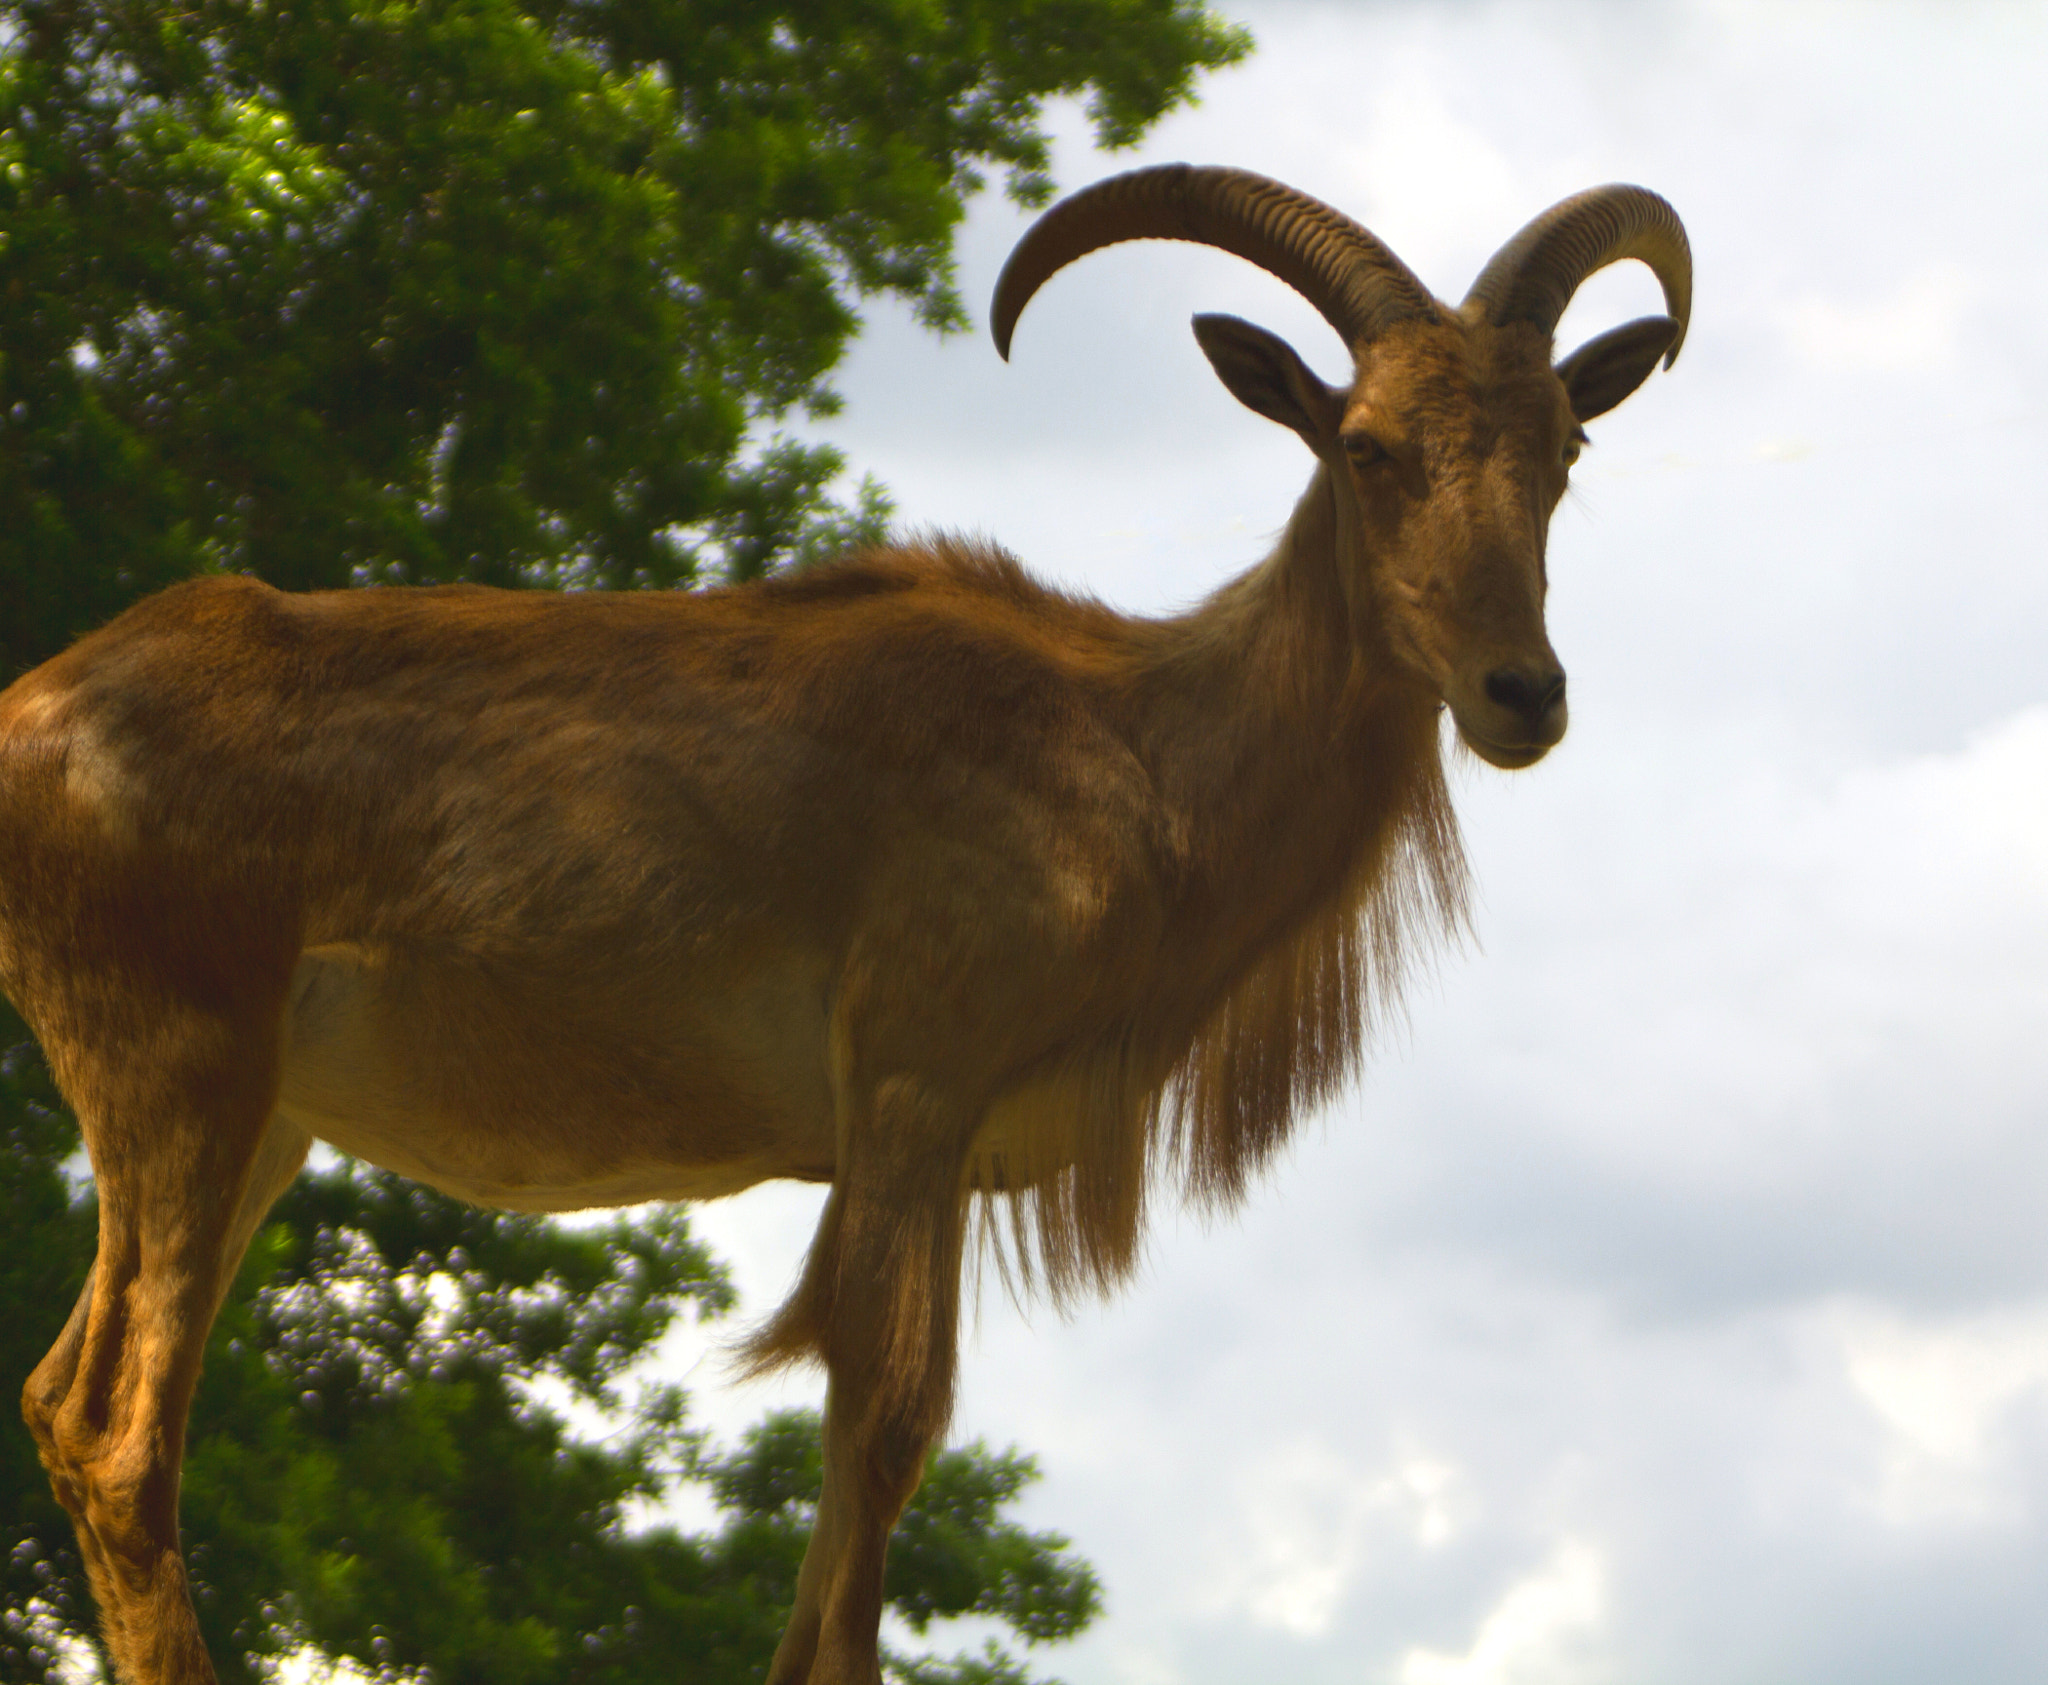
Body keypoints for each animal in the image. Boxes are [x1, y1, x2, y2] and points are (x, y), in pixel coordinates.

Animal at [1, 164, 1689, 1685]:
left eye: (1566, 443)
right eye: (1366, 443)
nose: (1521, 694)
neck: (1142, 751)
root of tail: (31, 715)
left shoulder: (929, 1144)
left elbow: (877, 1439)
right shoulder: (910, 1084)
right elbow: (881, 1418)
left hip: (259, 1124)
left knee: (61, 1395)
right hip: (177, 1070)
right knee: (118, 1428)